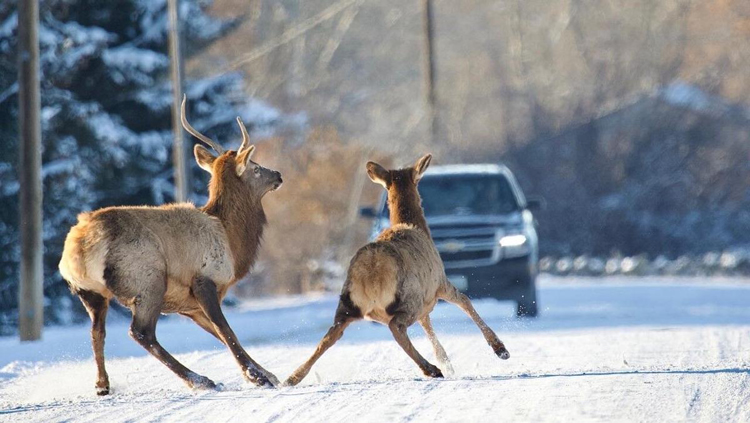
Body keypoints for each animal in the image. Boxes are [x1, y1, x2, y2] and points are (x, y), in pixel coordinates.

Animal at [59, 97, 284, 396]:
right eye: (256, 167)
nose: (278, 174)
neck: (233, 241)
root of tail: (79, 249)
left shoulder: (188, 305)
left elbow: (221, 334)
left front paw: (269, 374)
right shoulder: (204, 280)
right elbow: (226, 330)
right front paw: (258, 377)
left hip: (91, 293)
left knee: (97, 332)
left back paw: (102, 385)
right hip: (147, 280)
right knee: (141, 332)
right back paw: (199, 379)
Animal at [286, 155, 512, 388]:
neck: (414, 225)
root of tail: (371, 275)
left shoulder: (426, 301)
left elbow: (429, 326)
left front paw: (447, 363)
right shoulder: (438, 282)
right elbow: (465, 301)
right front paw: (500, 350)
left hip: (347, 302)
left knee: (330, 336)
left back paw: (292, 377)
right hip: (407, 296)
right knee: (396, 327)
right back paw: (431, 369)